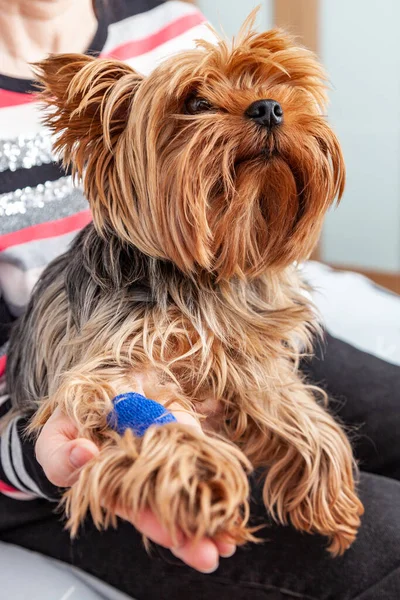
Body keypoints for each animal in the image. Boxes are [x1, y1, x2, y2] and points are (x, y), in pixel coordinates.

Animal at [6, 15, 362, 556]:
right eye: (195, 103)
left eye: (277, 83)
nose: (270, 107)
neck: (209, 274)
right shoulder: (119, 358)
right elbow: (145, 411)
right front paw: (197, 476)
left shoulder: (244, 353)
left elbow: (288, 399)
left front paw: (328, 484)